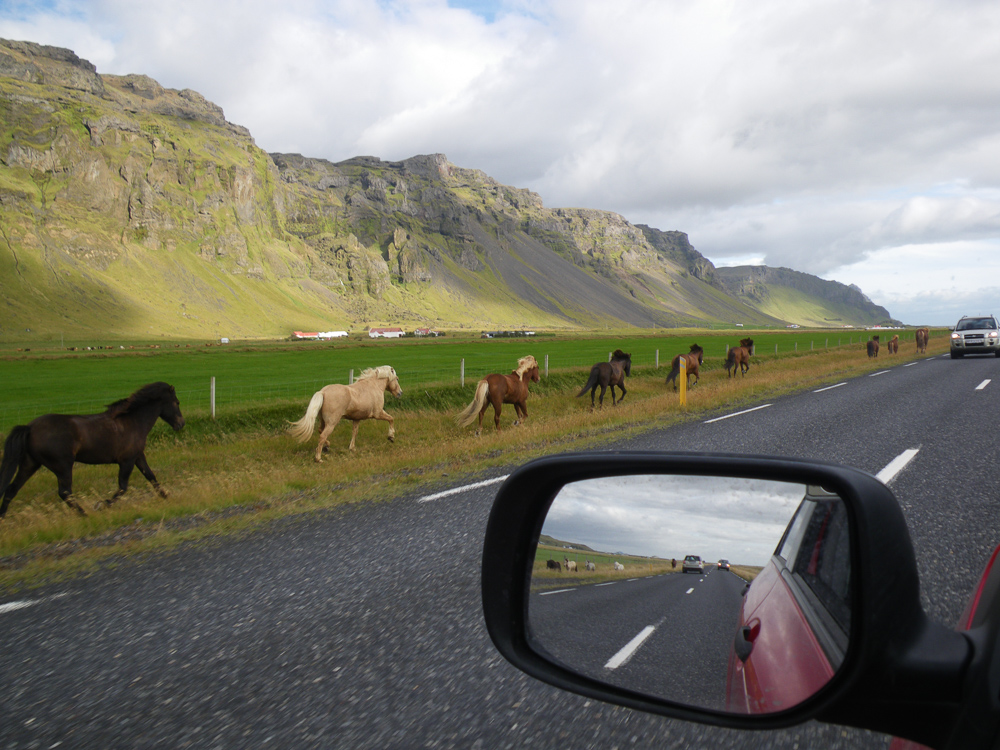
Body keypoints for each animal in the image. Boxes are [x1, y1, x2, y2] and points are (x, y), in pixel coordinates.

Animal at [0, 384, 186, 520]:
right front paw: (101, 505)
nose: (181, 424)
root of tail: (30, 428)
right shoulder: (126, 460)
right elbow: (123, 487)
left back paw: (2, 518)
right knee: (65, 492)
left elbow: (151, 476)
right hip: (63, 466)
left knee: (11, 490)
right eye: (176, 402)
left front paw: (166, 496)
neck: (132, 421)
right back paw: (84, 514)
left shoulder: (138, 456)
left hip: (30, 464)